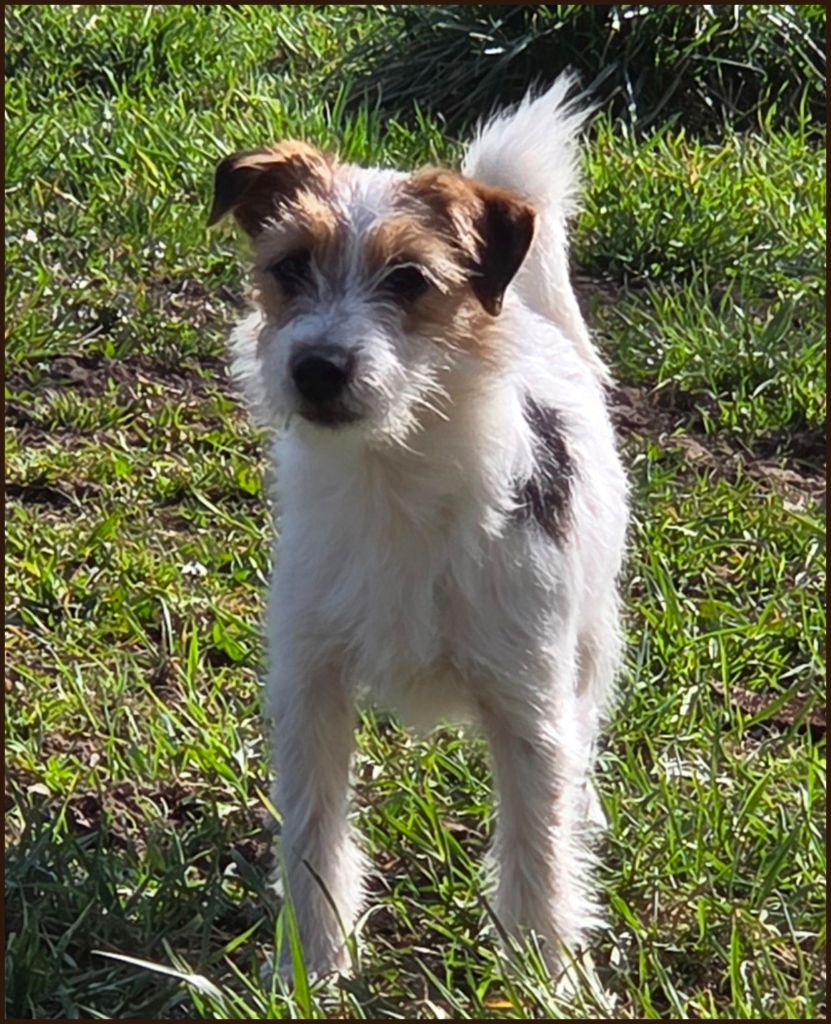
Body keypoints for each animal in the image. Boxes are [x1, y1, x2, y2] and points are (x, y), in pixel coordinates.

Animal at [208, 75, 628, 981]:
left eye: (407, 279)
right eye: (289, 266)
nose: (317, 367)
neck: (392, 476)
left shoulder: (527, 702)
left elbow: (537, 847)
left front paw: (544, 977)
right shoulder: (310, 686)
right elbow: (315, 834)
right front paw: (312, 967)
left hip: (586, 640)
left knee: (581, 736)